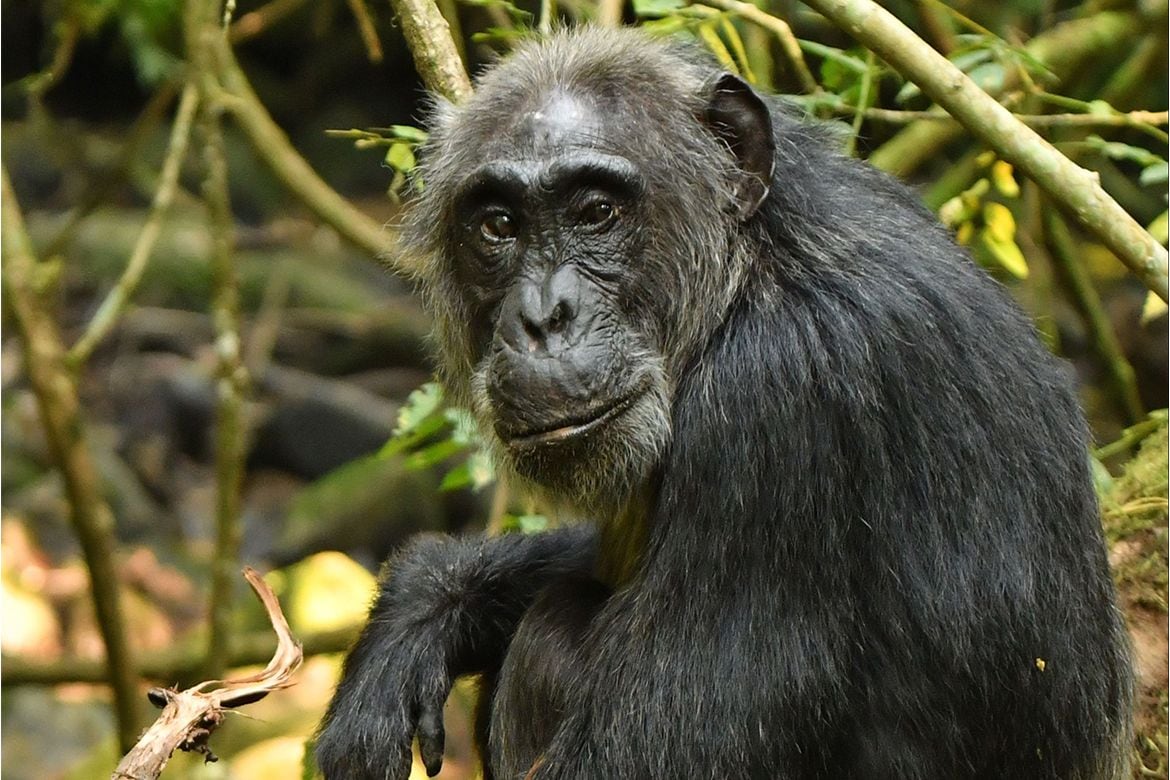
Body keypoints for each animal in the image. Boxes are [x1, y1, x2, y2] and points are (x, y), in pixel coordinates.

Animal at [315, 26, 1133, 780]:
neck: (745, 278)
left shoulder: (777, 403)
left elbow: (637, 754)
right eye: (498, 226)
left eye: (595, 212)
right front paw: (422, 611)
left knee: (552, 629)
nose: (544, 319)